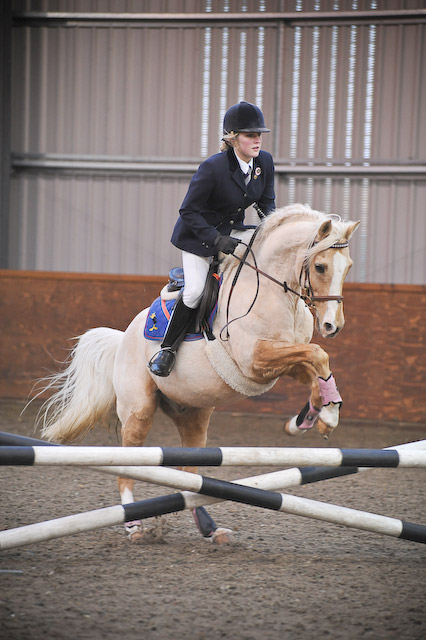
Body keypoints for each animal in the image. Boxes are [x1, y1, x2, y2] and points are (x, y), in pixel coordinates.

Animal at [39, 206, 360, 544]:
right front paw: (326, 417)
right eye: (321, 266)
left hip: (193, 415)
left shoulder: (280, 362)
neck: (274, 292)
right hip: (139, 410)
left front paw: (310, 419)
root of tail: (123, 337)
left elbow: (315, 364)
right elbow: (318, 354)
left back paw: (210, 528)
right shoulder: (255, 360)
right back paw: (134, 525)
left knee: (191, 479)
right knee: (129, 464)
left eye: (348, 267)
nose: (332, 326)